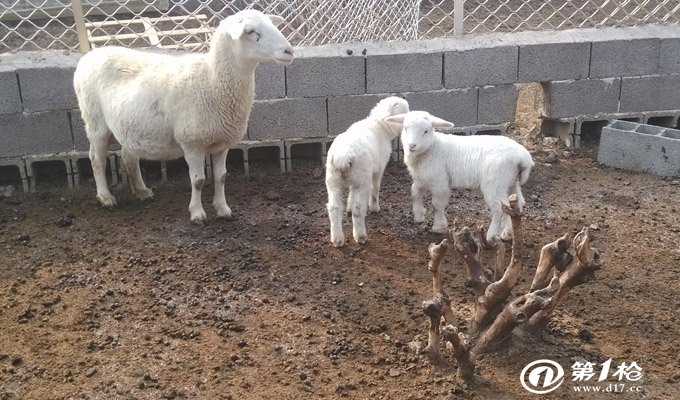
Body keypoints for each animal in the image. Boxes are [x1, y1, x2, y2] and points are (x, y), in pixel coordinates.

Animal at [73, 9, 294, 223]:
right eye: (250, 31)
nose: (289, 51)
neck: (211, 81)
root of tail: (89, 56)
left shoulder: (222, 143)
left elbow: (221, 177)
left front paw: (223, 209)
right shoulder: (192, 143)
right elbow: (198, 181)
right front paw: (197, 214)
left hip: (130, 126)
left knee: (128, 156)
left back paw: (142, 191)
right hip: (95, 122)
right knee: (97, 159)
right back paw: (105, 197)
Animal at [324, 97, 410, 247]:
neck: (379, 125)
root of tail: (343, 156)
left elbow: (350, 195)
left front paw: (348, 207)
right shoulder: (377, 170)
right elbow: (375, 189)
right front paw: (375, 207)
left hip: (334, 179)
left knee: (334, 208)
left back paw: (337, 239)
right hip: (361, 179)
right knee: (358, 209)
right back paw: (360, 236)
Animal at [386, 109, 532, 241]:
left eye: (426, 131)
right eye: (405, 128)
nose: (412, 145)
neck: (432, 147)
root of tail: (523, 157)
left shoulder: (439, 181)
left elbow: (436, 204)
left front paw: (438, 227)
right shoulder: (422, 178)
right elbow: (414, 192)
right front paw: (418, 215)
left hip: (495, 182)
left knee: (499, 208)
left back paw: (491, 236)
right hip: (511, 181)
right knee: (516, 204)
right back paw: (508, 234)